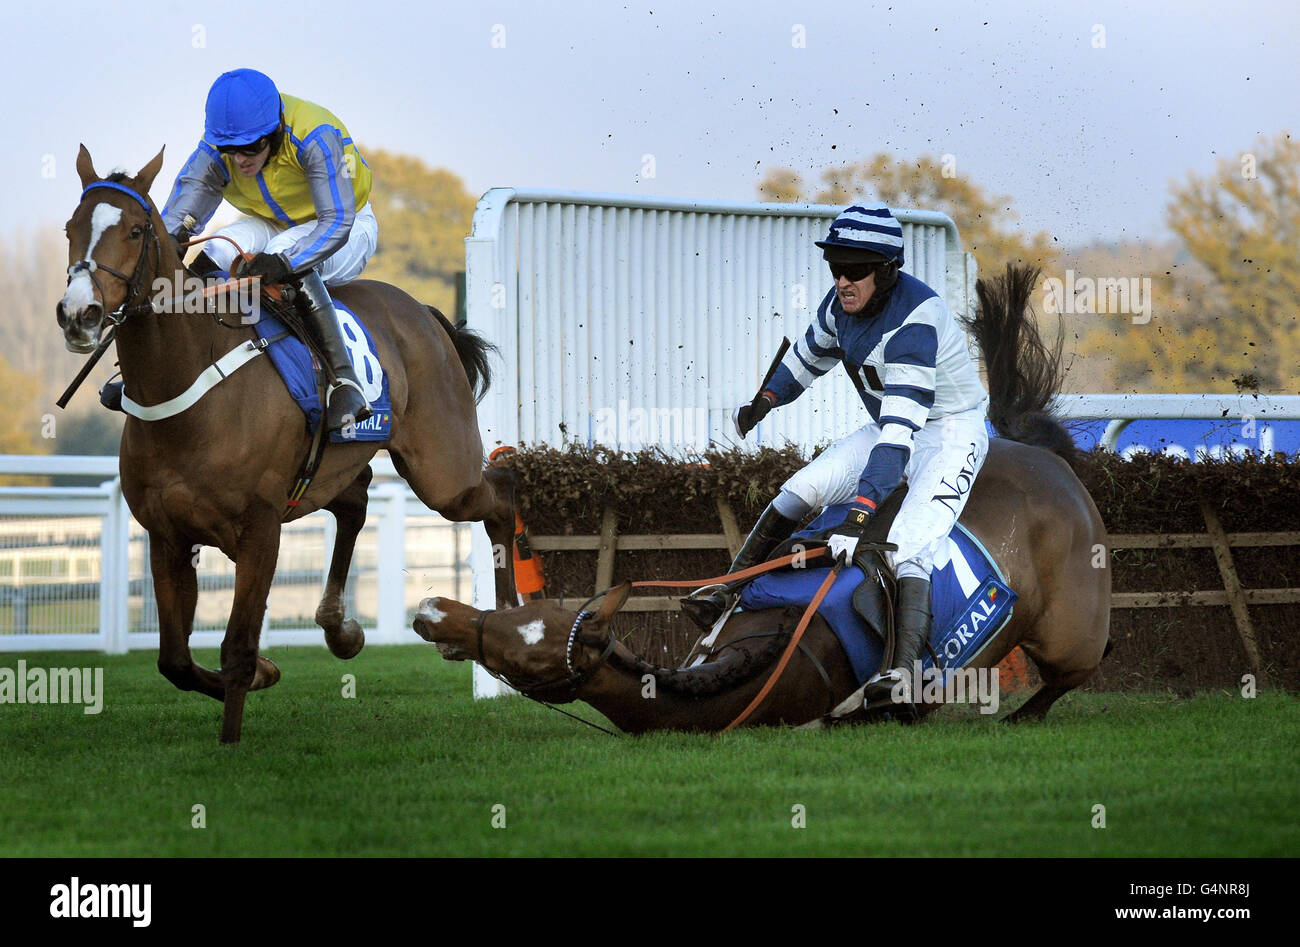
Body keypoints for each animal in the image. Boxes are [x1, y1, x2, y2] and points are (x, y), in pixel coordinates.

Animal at [58, 148, 517, 744]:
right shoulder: (168, 534)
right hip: (335, 468)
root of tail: (425, 313)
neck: (188, 390)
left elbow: (236, 647)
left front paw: (232, 737)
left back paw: (506, 621)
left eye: (135, 231)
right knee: (356, 502)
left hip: (445, 473)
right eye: (71, 228)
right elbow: (175, 660)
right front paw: (265, 674)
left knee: (499, 495)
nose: (79, 314)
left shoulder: (261, 531)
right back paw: (339, 628)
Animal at [410, 264, 1112, 733]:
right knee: (799, 492)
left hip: (1068, 624)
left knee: (1066, 672)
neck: (789, 645)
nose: (431, 609)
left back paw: (1021, 716)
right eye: (521, 615)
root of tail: (1041, 455)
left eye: (528, 654)